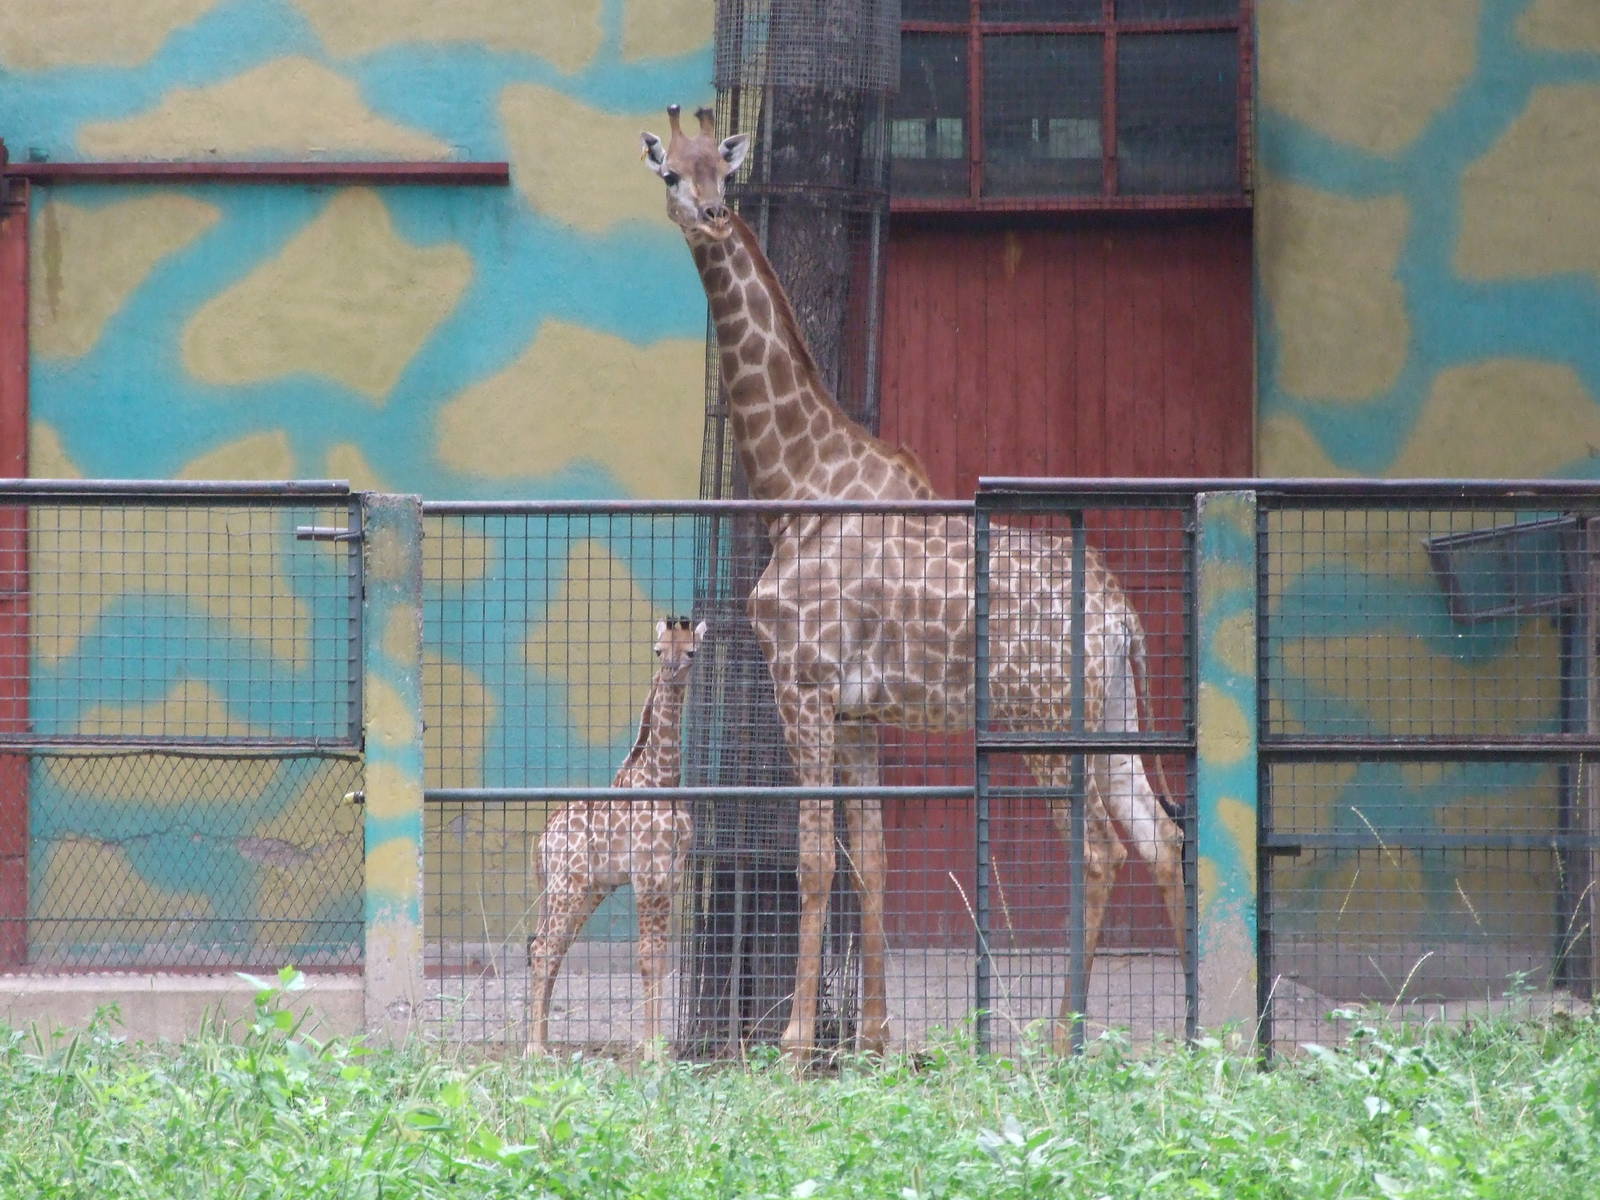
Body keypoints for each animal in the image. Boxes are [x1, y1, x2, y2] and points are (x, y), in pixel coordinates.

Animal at [526, 616, 707, 1057]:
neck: (661, 780)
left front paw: (660, 1047)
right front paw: (652, 1050)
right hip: (567, 888)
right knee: (542, 950)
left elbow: (661, 958)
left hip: (585, 891)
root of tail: (541, 844)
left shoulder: (671, 877)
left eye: (691, 651)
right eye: (658, 650)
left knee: (550, 951)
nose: (670, 672)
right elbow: (647, 957)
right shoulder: (647, 877)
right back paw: (533, 1050)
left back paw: (544, 1045)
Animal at [641, 106, 1185, 1057]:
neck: (798, 485)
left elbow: (813, 857)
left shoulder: (802, 683)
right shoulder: (858, 712)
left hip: (1044, 722)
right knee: (1163, 837)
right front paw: (873, 1038)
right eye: (673, 171)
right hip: (1112, 713)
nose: (710, 217)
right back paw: (1211, 1027)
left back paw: (1058, 1040)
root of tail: (1123, 618)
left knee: (1100, 850)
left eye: (725, 173)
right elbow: (870, 858)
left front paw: (793, 1044)